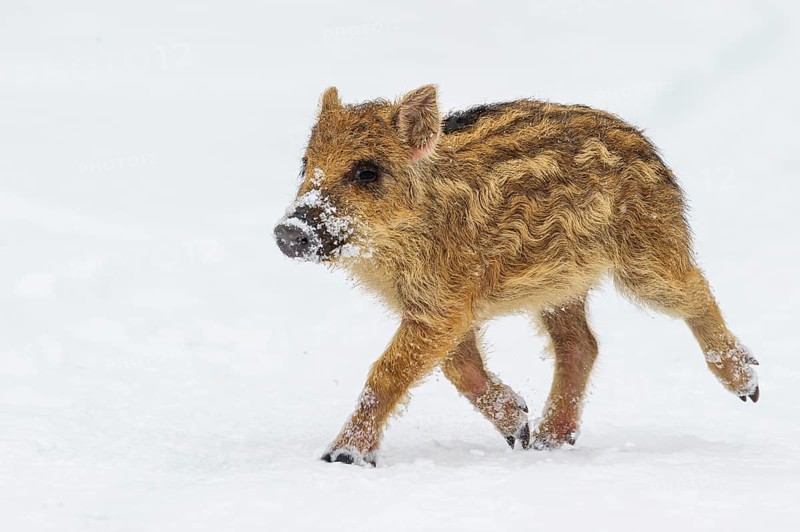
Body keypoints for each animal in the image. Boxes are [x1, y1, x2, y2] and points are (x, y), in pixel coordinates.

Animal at [274, 85, 759, 466]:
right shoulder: (442, 308)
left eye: (367, 172)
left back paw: (749, 387)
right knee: (581, 345)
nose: (288, 232)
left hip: (643, 256)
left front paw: (341, 457)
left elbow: (388, 371)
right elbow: (458, 367)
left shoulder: (442, 306)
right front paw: (518, 427)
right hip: (560, 285)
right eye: (306, 163)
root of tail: (648, 148)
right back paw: (546, 440)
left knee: (696, 290)